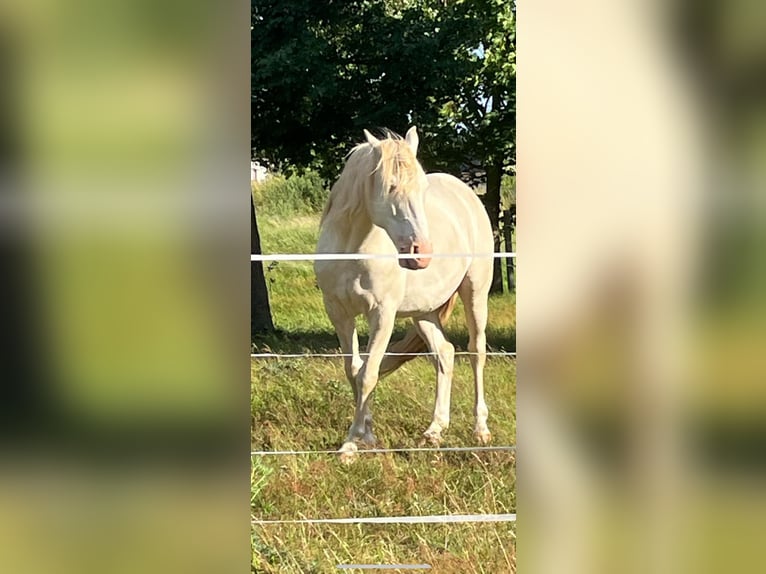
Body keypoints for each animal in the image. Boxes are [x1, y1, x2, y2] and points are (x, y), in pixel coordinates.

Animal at [316, 127, 496, 464]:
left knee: (476, 351)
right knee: (445, 354)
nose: (421, 253)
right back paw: (434, 431)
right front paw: (367, 436)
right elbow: (354, 372)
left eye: (422, 188)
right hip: (424, 312)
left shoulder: (382, 315)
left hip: (476, 291)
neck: (352, 249)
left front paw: (350, 445)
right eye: (390, 186)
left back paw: (480, 430)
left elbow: (369, 375)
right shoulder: (339, 313)